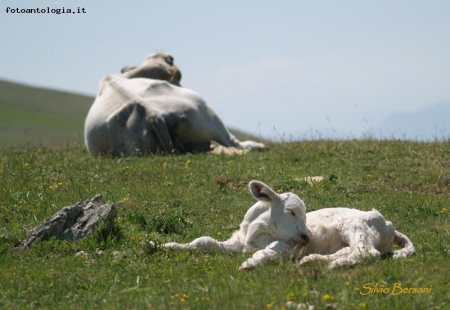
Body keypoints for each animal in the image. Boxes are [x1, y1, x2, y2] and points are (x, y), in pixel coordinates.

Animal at [163, 180, 414, 270]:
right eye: (291, 211)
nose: (307, 238)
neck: (253, 235)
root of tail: (388, 224)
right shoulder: (236, 243)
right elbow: (203, 241)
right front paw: (167, 246)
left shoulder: (287, 245)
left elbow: (271, 251)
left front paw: (251, 263)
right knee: (348, 250)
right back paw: (313, 260)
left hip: (354, 226)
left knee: (365, 251)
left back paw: (334, 266)